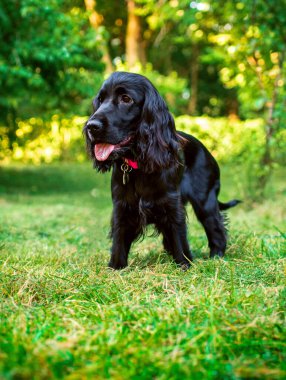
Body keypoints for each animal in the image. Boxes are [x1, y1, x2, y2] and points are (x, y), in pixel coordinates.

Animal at [84, 70, 240, 268]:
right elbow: (119, 239)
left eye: (126, 99)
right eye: (100, 99)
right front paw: (115, 267)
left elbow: (179, 237)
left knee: (216, 228)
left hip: (205, 201)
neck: (139, 164)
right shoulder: (122, 206)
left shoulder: (172, 205)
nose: (91, 126)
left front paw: (184, 265)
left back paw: (216, 257)